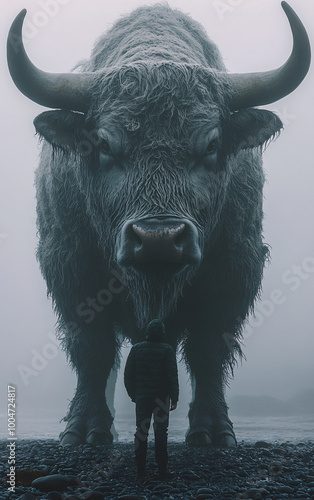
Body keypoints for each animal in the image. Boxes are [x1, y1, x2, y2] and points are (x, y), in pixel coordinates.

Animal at [6, 0, 310, 446]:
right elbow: (93, 351)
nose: (158, 239)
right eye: (104, 143)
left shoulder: (234, 269)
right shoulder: (72, 269)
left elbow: (208, 351)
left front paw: (212, 431)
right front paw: (84, 431)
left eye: (212, 144)